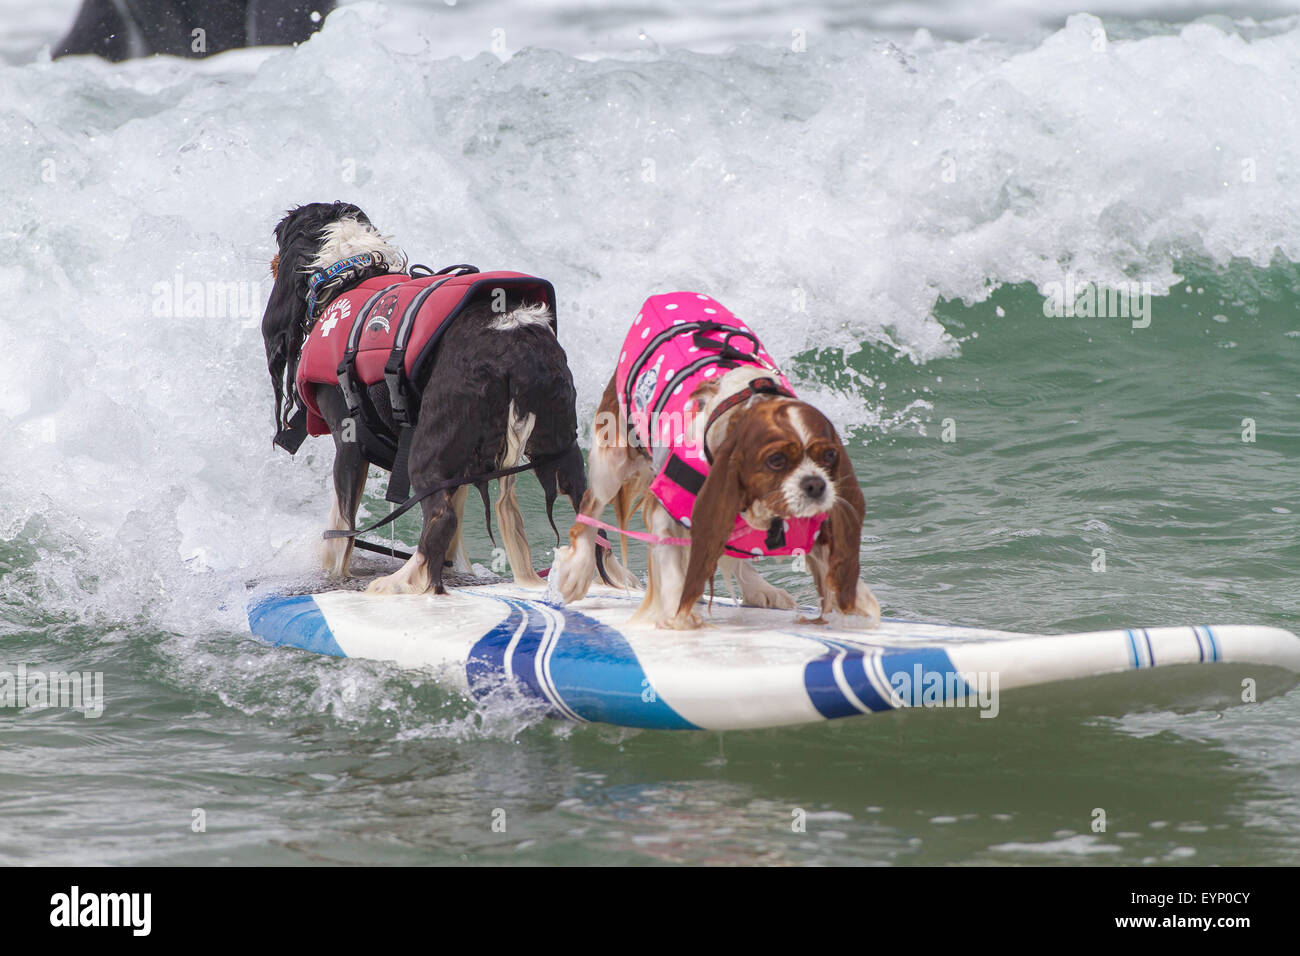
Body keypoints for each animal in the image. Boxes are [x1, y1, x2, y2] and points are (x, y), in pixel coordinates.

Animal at [258, 200, 590, 590]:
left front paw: (332, 578)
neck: (349, 272)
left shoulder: (350, 443)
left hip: (429, 445)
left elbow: (341, 534)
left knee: (439, 517)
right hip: (561, 443)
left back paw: (398, 583)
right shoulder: (462, 463)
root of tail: (514, 339)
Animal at [551, 295, 883, 632]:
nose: (815, 485)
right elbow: (672, 567)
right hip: (612, 458)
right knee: (589, 509)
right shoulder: (667, 509)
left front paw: (858, 607)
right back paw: (577, 572)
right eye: (776, 460)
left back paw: (759, 588)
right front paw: (677, 615)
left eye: (829, 455)